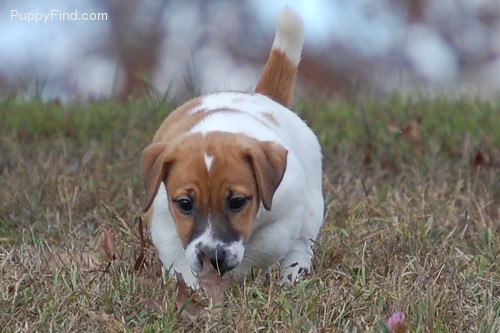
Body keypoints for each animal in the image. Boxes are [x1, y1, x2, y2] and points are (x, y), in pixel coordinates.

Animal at [141, 8, 324, 288]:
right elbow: (181, 261)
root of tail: (264, 96)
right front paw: (197, 288)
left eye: (237, 202)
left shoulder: (286, 215)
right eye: (185, 204)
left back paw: (291, 279)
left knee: (300, 248)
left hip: (312, 209)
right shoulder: (164, 223)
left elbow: (265, 247)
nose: (213, 258)